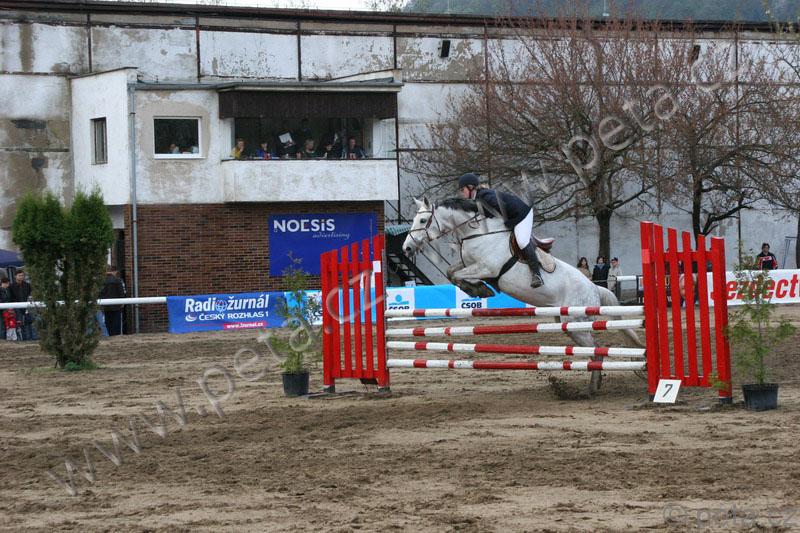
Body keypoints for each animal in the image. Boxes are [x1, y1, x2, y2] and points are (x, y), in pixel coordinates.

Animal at [401, 197, 643, 395]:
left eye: (422, 221)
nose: (406, 248)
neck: (478, 234)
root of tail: (594, 288)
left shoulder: (486, 267)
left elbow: (457, 274)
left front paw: (479, 289)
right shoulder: (470, 264)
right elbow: (451, 272)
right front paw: (478, 289)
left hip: (576, 322)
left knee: (597, 352)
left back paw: (591, 390)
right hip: (569, 324)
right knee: (595, 352)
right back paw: (595, 385)